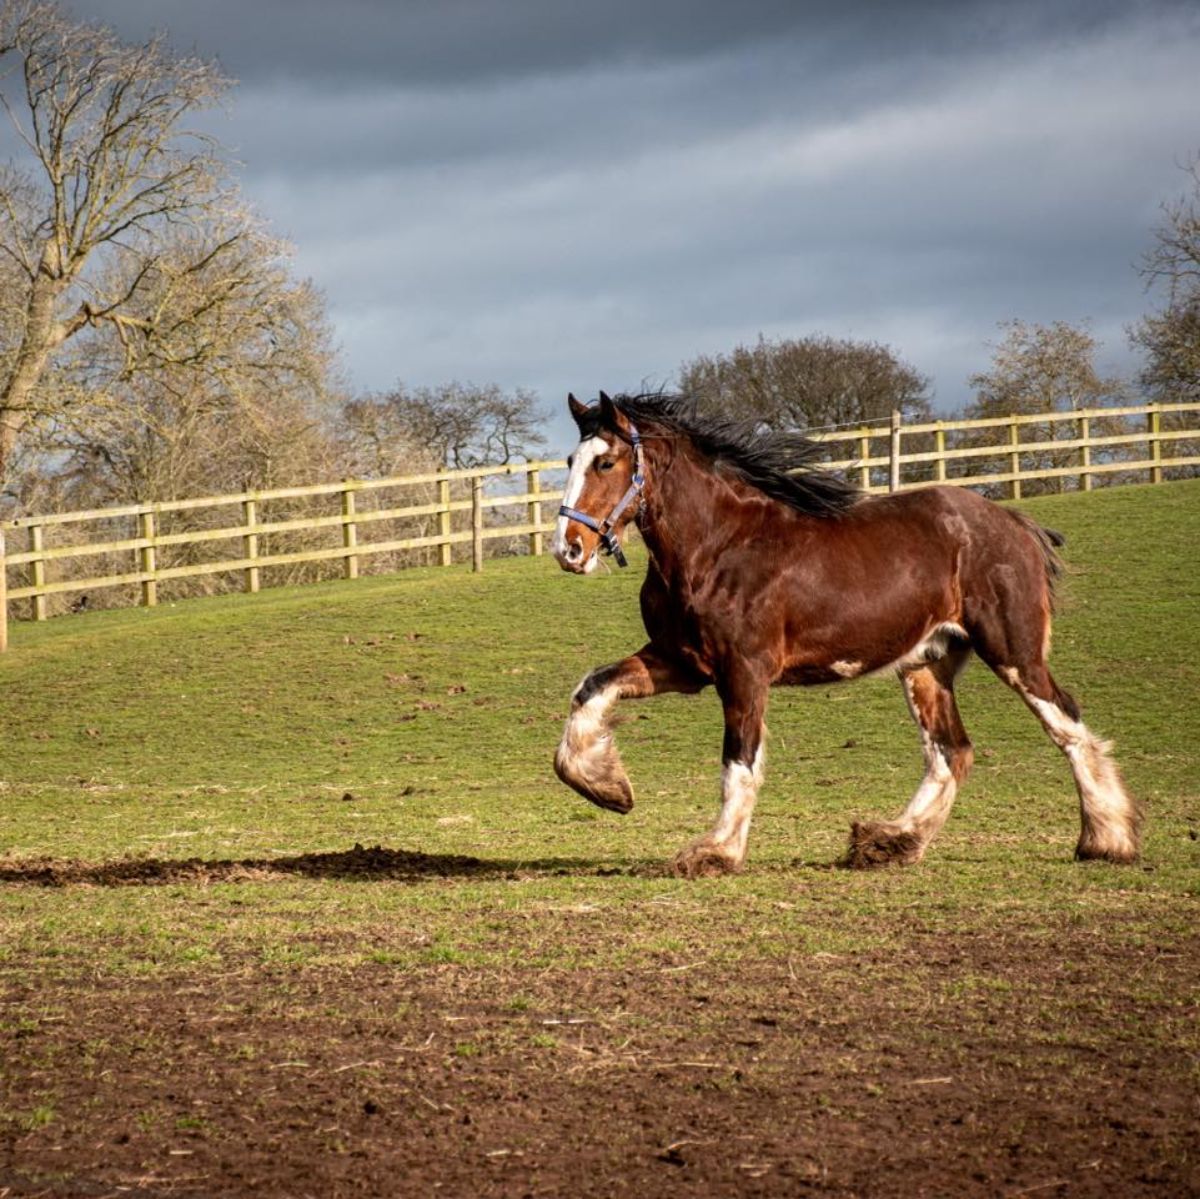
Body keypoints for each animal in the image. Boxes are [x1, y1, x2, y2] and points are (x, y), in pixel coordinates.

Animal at [549, 398, 1137, 878]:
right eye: (571, 462)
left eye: (606, 462)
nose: (568, 548)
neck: (717, 548)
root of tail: (1015, 522)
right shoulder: (682, 664)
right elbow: (590, 688)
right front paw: (608, 788)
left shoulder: (744, 672)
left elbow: (739, 763)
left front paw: (715, 852)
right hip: (927, 662)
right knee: (951, 752)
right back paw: (889, 843)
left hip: (1013, 652)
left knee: (1068, 726)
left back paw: (1107, 840)